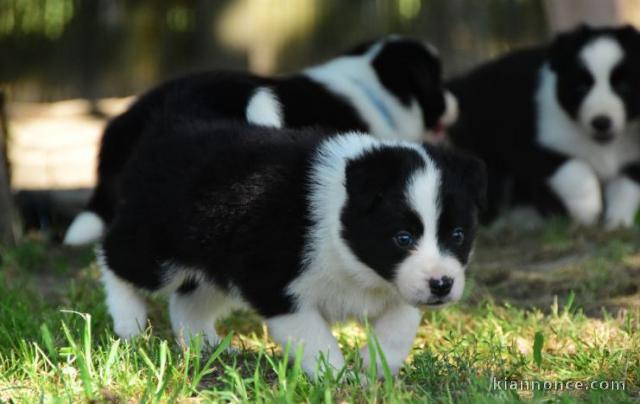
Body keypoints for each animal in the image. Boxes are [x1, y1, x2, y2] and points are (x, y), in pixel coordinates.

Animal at [97, 118, 482, 378]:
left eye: (458, 235)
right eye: (403, 238)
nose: (442, 285)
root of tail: (165, 131)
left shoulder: (398, 287)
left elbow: (399, 326)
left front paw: (374, 367)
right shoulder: (276, 285)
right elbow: (315, 338)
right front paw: (336, 377)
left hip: (217, 261)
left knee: (188, 301)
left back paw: (205, 347)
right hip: (156, 247)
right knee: (113, 258)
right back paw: (129, 322)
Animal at [444, 24, 640, 227]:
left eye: (624, 87)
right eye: (581, 87)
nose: (601, 122)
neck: (602, 145)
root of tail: (467, 82)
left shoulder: (633, 160)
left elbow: (625, 188)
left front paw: (618, 222)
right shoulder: (536, 145)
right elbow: (576, 170)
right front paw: (587, 211)